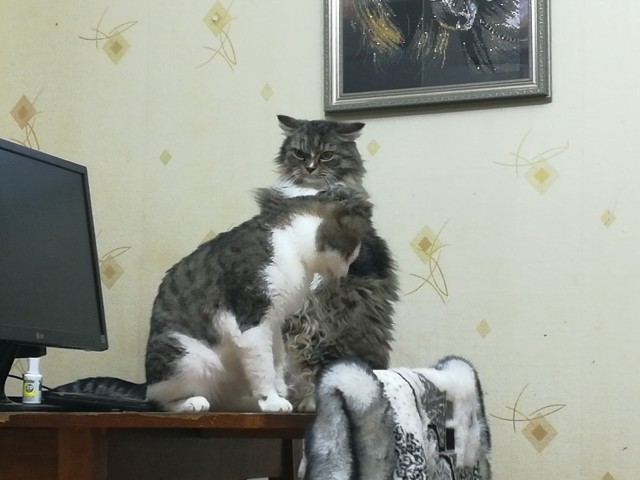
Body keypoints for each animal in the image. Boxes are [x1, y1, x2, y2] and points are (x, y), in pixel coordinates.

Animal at [54, 187, 372, 412]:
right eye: (352, 251)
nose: (346, 273)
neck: (291, 246)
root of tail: (145, 381)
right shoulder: (251, 318)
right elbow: (263, 366)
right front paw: (272, 400)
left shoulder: (274, 320)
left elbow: (277, 360)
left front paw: (282, 390)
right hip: (190, 357)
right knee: (158, 400)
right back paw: (192, 402)